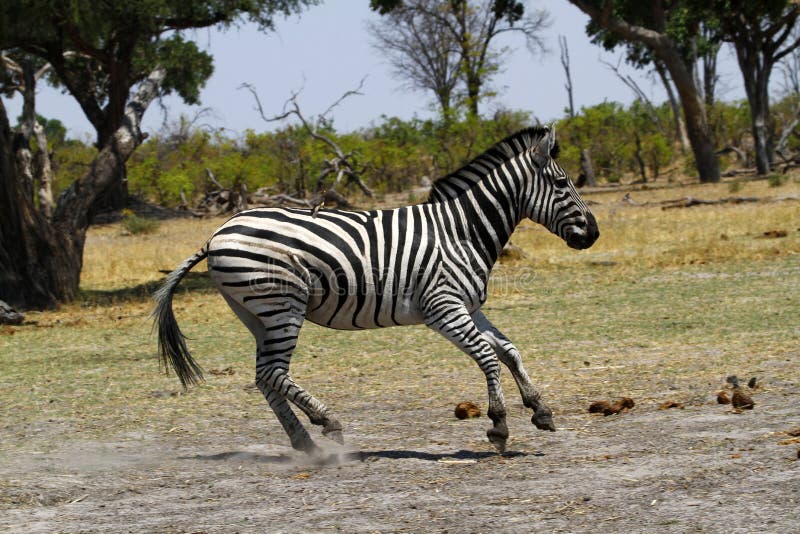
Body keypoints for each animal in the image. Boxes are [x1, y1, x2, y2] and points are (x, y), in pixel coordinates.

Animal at [153, 125, 596, 456]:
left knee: (266, 377)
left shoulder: (467, 305)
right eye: (562, 183)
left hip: (254, 313)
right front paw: (499, 426)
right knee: (273, 372)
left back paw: (305, 441)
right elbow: (489, 357)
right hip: (282, 304)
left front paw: (540, 410)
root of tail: (217, 233)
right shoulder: (443, 308)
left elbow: (509, 350)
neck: (461, 230)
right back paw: (327, 422)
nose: (593, 233)